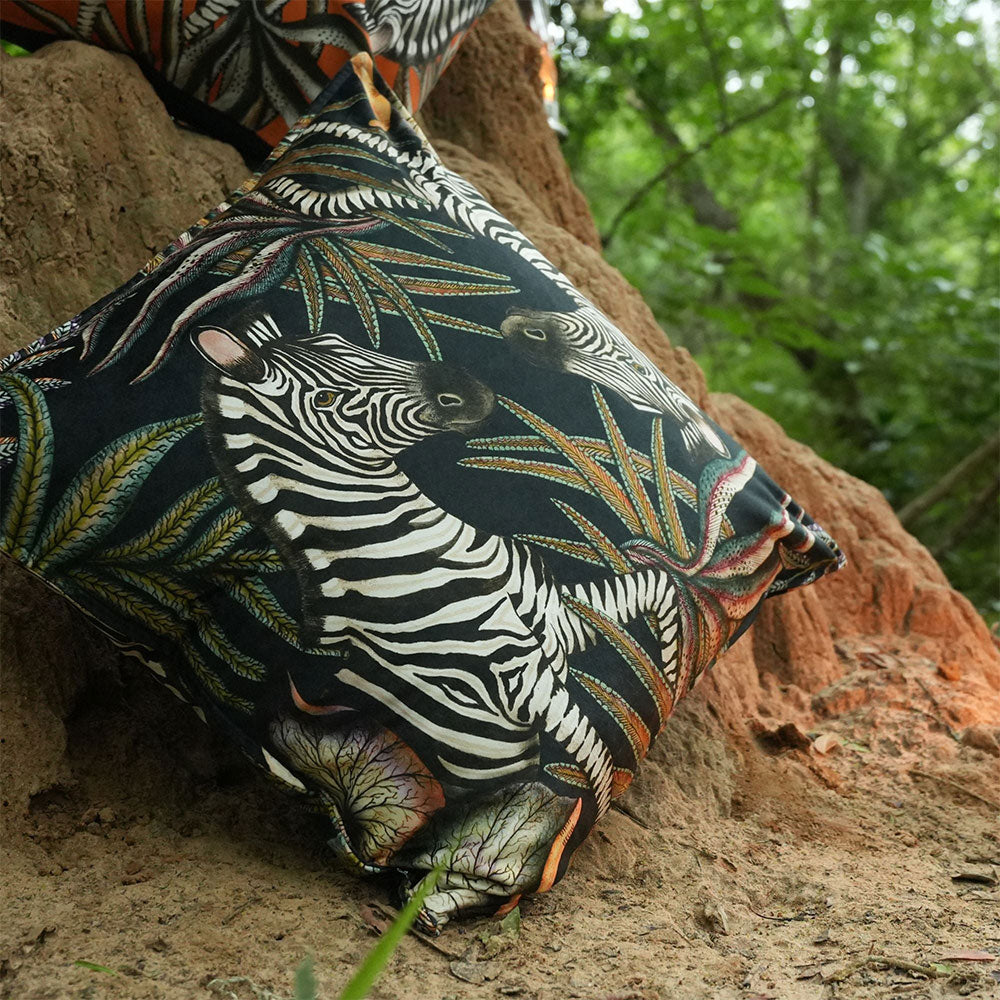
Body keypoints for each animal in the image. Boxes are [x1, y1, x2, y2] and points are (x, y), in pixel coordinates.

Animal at [193, 315, 680, 819]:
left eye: (342, 339)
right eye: (324, 399)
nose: (468, 389)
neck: (422, 553)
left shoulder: (558, 621)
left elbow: (659, 586)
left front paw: (666, 672)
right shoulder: (518, 683)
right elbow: (599, 770)